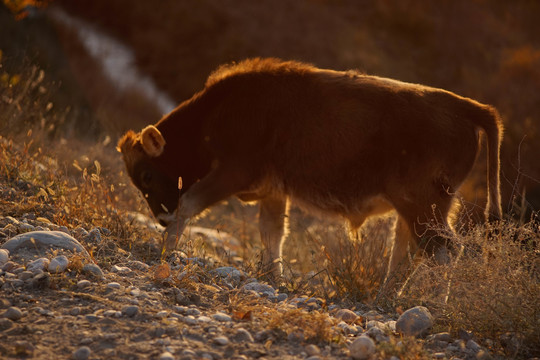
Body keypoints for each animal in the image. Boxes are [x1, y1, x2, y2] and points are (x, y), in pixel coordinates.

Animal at [117, 57, 502, 278]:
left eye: (147, 175)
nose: (160, 218)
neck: (220, 111)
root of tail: (467, 106)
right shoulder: (273, 190)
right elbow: (272, 233)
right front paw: (272, 277)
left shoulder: (232, 172)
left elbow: (189, 203)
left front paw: (167, 250)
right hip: (417, 208)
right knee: (406, 251)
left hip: (424, 205)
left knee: (443, 250)